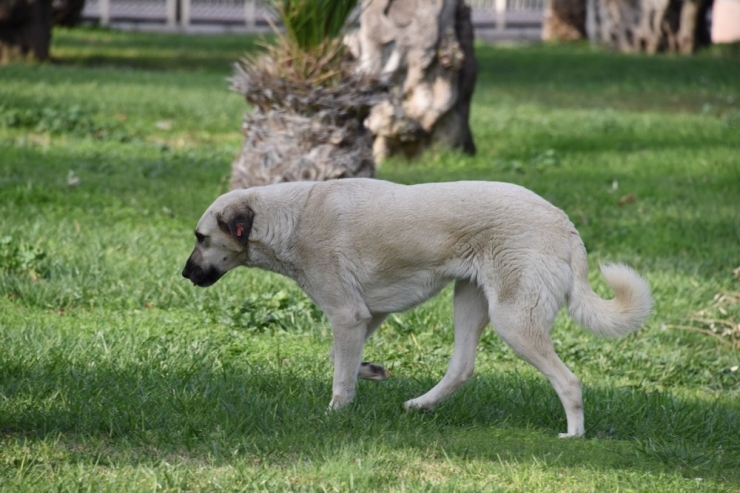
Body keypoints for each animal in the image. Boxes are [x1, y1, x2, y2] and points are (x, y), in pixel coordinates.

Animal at [182, 179, 652, 436]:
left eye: (201, 238)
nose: (185, 274)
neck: (288, 218)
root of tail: (565, 224)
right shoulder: (367, 315)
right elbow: (338, 358)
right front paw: (369, 371)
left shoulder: (347, 315)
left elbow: (339, 376)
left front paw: (336, 412)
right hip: (469, 301)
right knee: (462, 368)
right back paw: (421, 406)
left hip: (513, 321)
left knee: (569, 382)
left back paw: (573, 435)